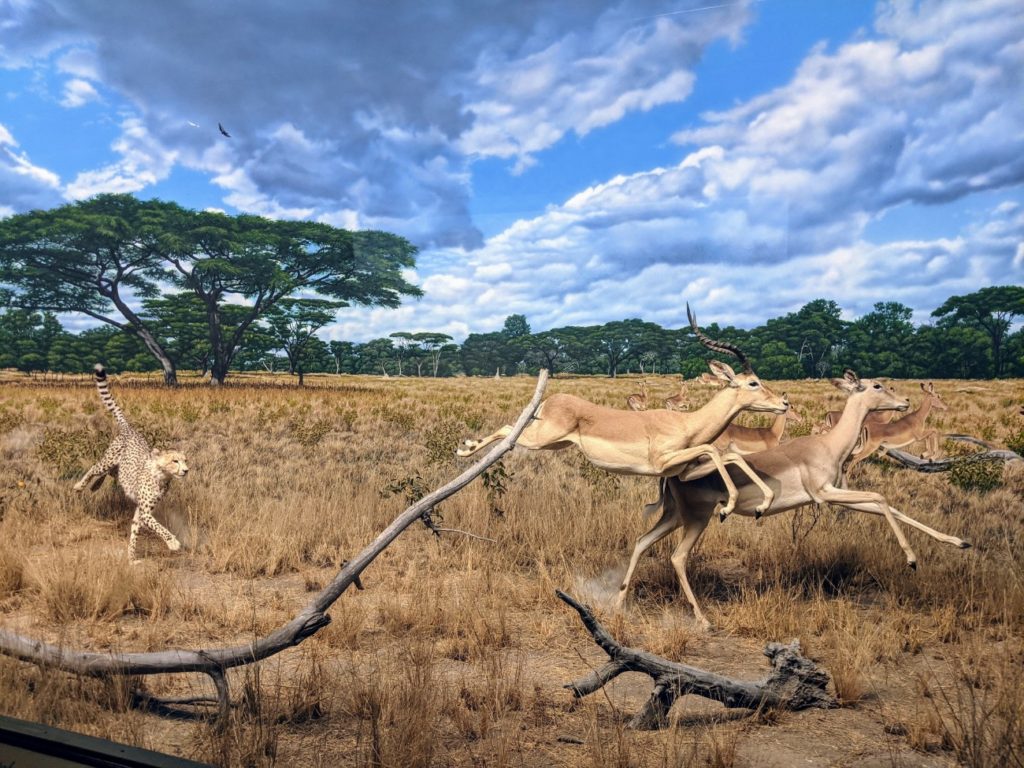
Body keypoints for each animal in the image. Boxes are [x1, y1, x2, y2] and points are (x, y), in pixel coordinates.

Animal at [75, 364, 190, 561]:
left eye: (184, 460)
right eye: (175, 461)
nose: (186, 470)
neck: (161, 476)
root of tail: (130, 428)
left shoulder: (143, 511)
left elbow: (135, 529)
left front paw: (131, 557)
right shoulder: (145, 511)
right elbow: (159, 527)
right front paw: (173, 542)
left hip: (118, 469)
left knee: (107, 474)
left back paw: (95, 487)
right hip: (109, 460)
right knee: (94, 468)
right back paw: (79, 486)